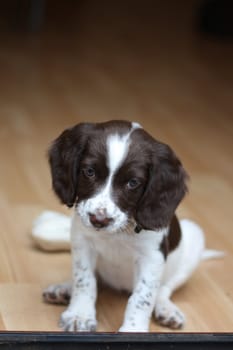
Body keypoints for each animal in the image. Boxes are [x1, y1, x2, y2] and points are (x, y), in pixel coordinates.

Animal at [32, 119, 222, 330]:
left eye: (133, 182)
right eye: (89, 172)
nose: (99, 220)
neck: (119, 232)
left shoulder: (152, 257)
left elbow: (143, 297)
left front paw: (133, 329)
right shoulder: (82, 242)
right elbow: (84, 280)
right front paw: (79, 315)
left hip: (194, 237)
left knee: (163, 289)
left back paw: (167, 309)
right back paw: (65, 289)